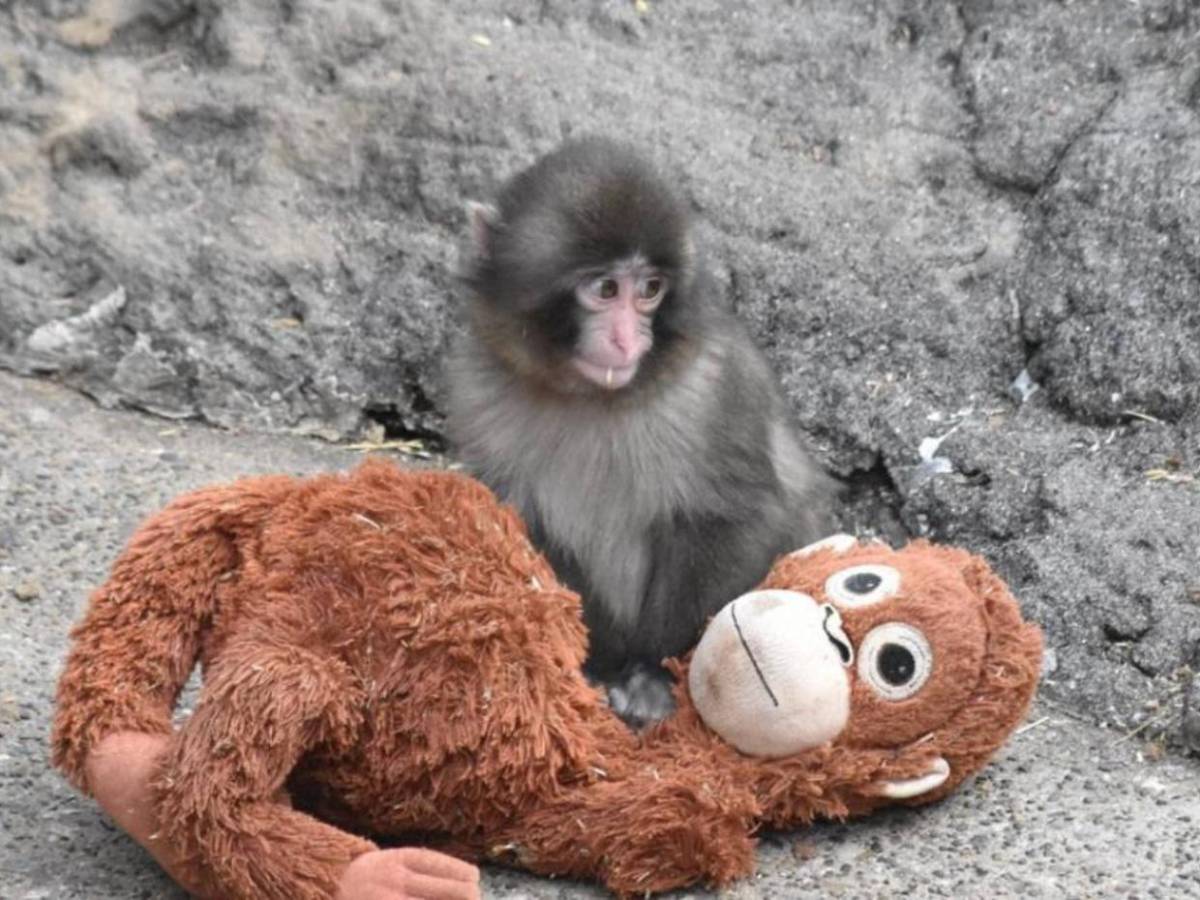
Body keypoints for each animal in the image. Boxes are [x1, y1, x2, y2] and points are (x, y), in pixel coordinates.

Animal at [444, 137, 835, 726]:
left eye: (650, 290)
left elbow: (738, 516)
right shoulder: (477, 390)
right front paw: (597, 663)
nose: (628, 340)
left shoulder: (714, 386)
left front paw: (651, 674)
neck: (591, 397)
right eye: (606, 288)